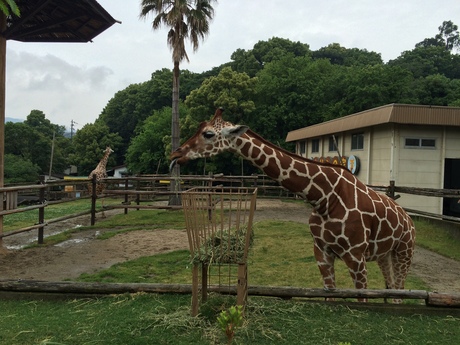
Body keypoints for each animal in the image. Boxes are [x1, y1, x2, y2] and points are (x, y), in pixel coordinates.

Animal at [170, 108, 416, 300]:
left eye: (208, 133)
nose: (175, 154)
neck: (325, 198)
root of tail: (409, 220)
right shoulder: (322, 252)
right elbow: (330, 296)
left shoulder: (356, 256)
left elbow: (361, 298)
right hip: (385, 255)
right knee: (391, 289)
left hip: (404, 252)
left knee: (399, 291)